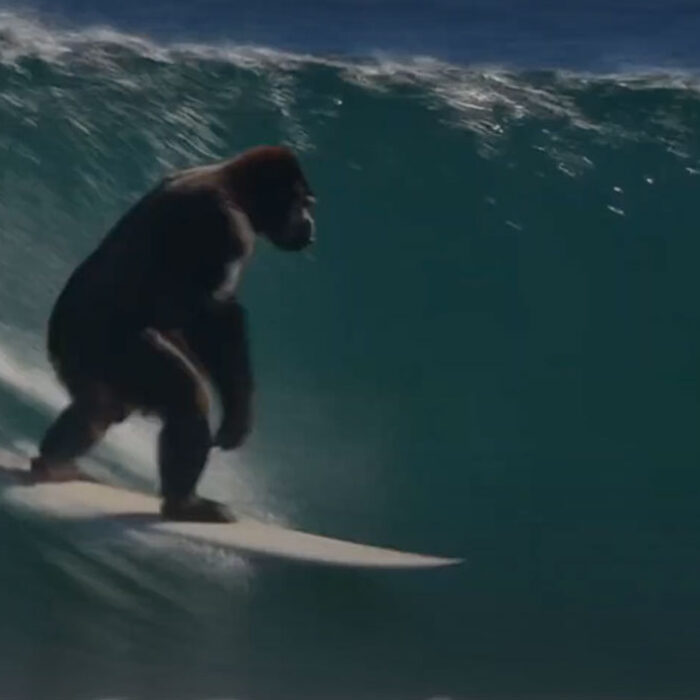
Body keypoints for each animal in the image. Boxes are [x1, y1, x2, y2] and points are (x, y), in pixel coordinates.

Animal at [30, 145, 316, 522]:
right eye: (302, 204)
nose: (310, 224)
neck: (232, 185)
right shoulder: (226, 227)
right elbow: (214, 318)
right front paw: (238, 412)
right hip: (110, 350)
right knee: (184, 398)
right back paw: (183, 503)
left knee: (101, 407)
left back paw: (53, 460)